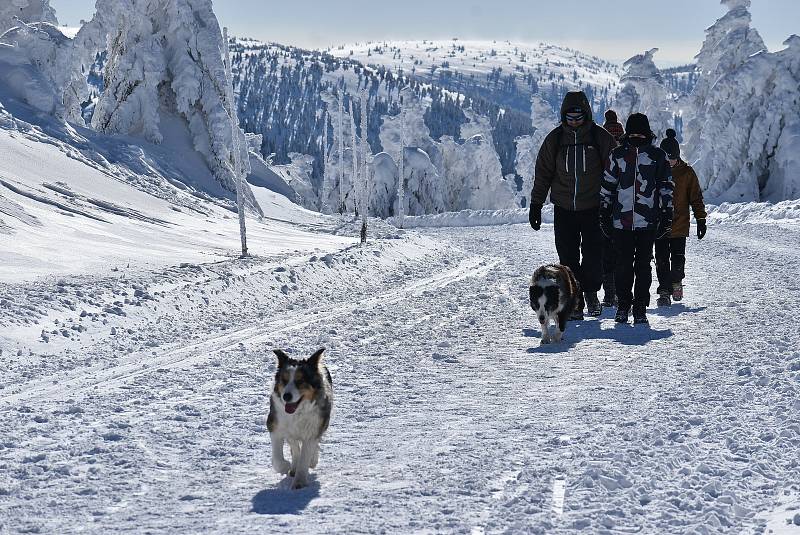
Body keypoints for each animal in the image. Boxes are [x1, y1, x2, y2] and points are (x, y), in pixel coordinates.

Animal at [268, 348, 332, 490]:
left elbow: (305, 457)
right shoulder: (275, 426)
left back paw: (312, 461)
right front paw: (285, 466)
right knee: (294, 445)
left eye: (300, 381)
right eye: (284, 380)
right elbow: (277, 457)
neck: (297, 413)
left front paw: (299, 482)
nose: (286, 396)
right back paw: (293, 467)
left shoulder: (313, 429)